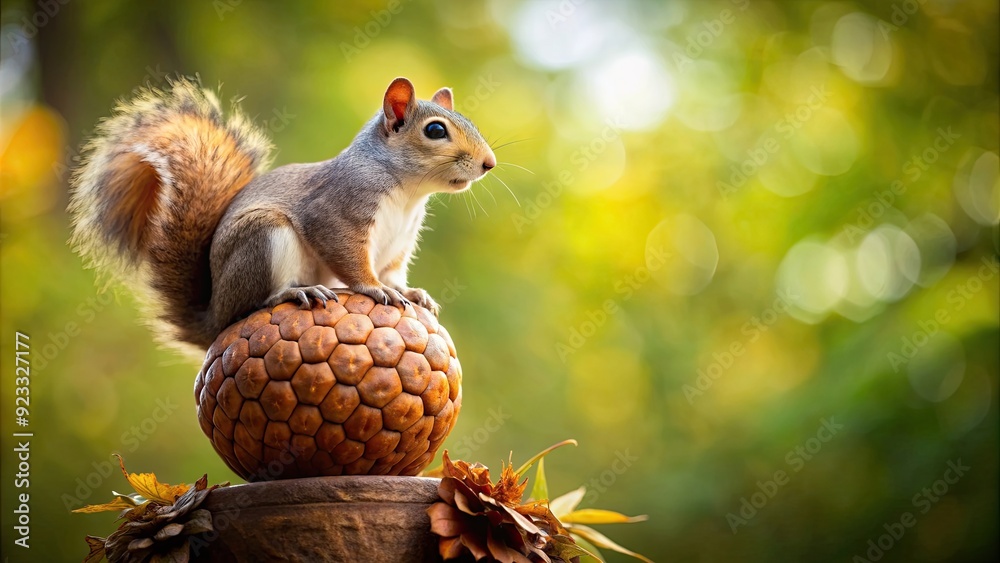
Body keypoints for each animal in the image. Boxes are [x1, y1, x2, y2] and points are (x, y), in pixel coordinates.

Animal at [69, 76, 496, 353]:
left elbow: (393, 272)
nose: (489, 164)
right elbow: (351, 259)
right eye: (436, 130)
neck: (408, 192)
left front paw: (410, 292)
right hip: (264, 238)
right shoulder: (337, 212)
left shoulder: (400, 243)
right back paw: (294, 291)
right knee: (254, 304)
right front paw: (375, 289)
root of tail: (215, 311)